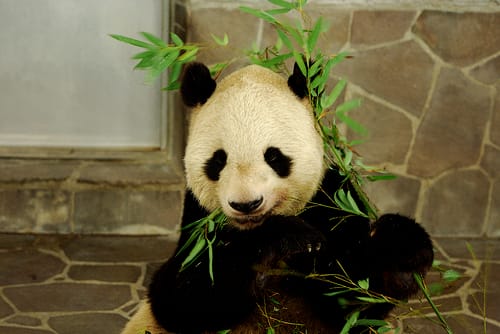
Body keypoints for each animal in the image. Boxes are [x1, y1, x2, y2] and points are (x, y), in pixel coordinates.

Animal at [122, 62, 434, 334]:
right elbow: (181, 295)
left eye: (274, 157)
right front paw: (289, 237)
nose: (246, 204)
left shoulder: (333, 199)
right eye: (218, 160)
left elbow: (352, 295)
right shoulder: (198, 222)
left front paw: (400, 243)